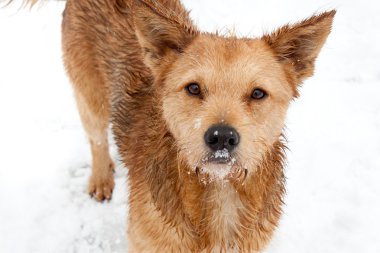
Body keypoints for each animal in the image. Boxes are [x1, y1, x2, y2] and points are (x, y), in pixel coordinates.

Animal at [8, 0, 336, 251]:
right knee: (97, 139)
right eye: (193, 88)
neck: (217, 190)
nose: (222, 138)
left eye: (257, 93)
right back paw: (101, 178)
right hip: (90, 98)